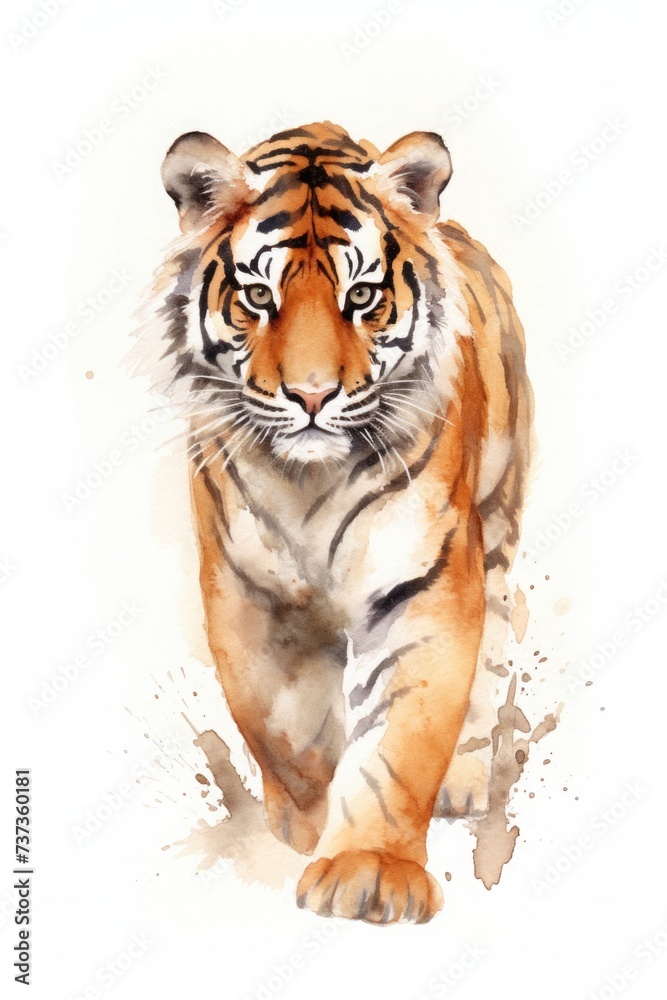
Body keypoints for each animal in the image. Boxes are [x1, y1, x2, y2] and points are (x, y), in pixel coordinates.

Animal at [142, 121, 533, 924]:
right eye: (259, 295)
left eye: (361, 296)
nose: (313, 395)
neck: (306, 482)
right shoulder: (251, 593)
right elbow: (284, 732)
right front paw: (306, 829)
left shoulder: (425, 582)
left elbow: (402, 739)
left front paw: (370, 871)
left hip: (498, 522)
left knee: (493, 656)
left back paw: (465, 781)